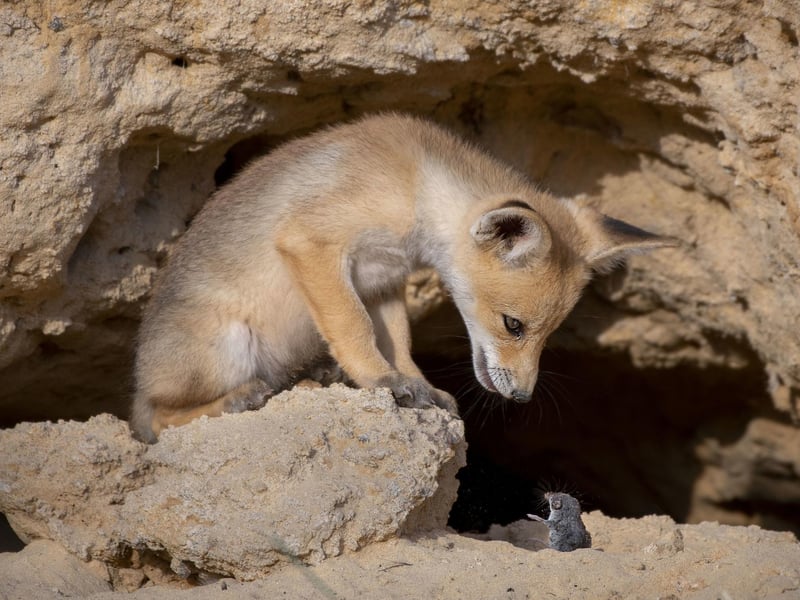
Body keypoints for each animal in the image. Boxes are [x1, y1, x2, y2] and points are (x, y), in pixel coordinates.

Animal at [130, 113, 675, 442]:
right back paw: (238, 399)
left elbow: (399, 342)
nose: (521, 396)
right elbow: (353, 328)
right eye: (513, 325)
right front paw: (379, 380)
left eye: (549, 335)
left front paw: (416, 385)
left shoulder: (383, 281)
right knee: (156, 420)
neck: (415, 184)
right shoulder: (312, 243)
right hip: (227, 346)